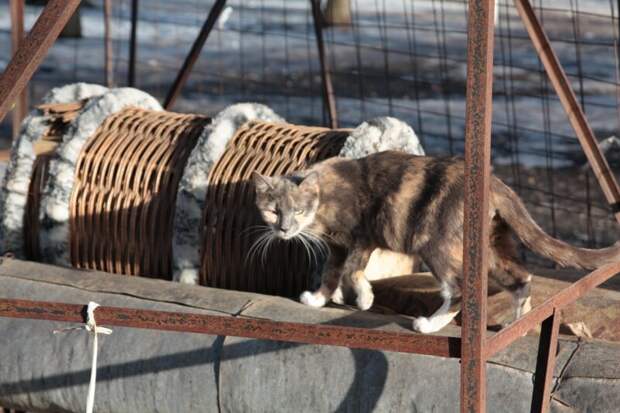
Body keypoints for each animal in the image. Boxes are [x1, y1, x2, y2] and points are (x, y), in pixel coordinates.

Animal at [252, 150, 620, 334]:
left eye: (298, 210)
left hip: (435, 243)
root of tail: (496, 183)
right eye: (273, 211)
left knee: (460, 288)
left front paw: (364, 299)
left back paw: (428, 325)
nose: (284, 229)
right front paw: (321, 299)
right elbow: (333, 272)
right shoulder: (338, 245)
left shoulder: (361, 235)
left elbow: (352, 269)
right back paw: (517, 325)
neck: (323, 193)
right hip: (491, 244)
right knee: (520, 277)